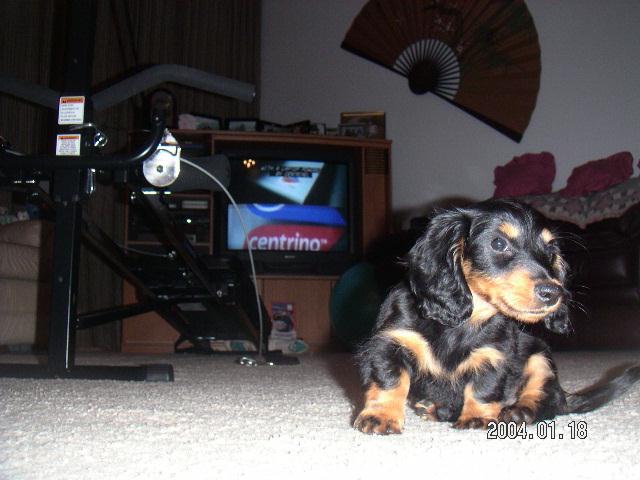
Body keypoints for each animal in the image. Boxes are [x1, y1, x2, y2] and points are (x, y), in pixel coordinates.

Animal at [356, 199, 640, 436]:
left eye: (550, 251)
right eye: (498, 243)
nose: (554, 293)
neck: (462, 322)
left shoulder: (493, 356)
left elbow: (484, 388)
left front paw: (477, 417)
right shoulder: (390, 343)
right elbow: (390, 381)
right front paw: (381, 416)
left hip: (541, 357)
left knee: (548, 399)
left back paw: (519, 412)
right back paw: (437, 409)